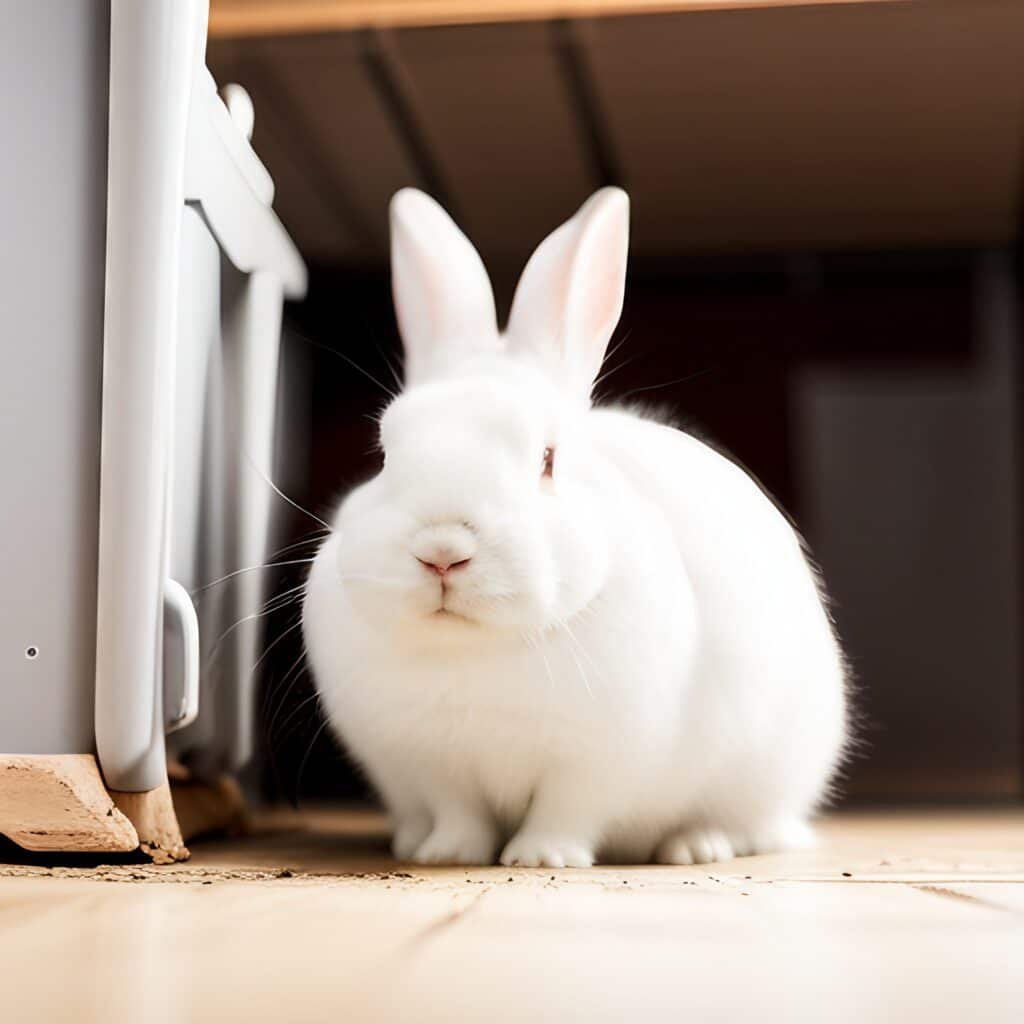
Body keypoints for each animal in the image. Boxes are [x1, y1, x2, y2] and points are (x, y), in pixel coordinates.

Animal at [301, 186, 847, 864]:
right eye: (383, 452)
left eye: (547, 459)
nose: (443, 551)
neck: (477, 648)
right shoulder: (431, 764)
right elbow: (459, 814)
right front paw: (447, 855)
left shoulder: (598, 761)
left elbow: (566, 811)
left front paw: (541, 858)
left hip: (770, 771)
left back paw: (698, 847)